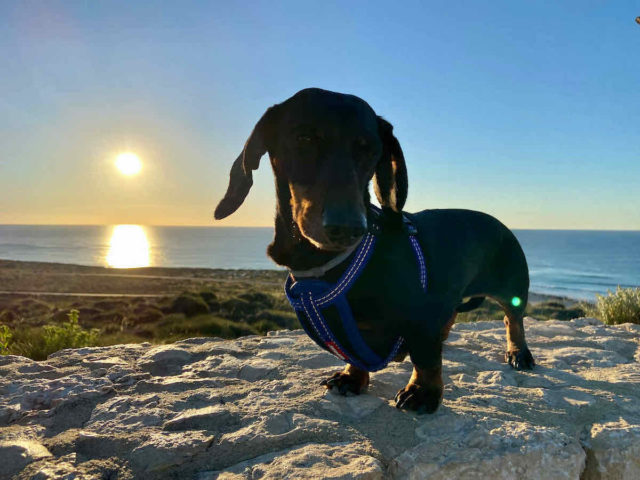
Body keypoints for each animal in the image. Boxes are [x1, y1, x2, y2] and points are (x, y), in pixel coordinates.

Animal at [215, 88, 536, 414]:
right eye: (304, 138)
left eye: (370, 150)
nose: (347, 227)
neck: (328, 264)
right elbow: (356, 356)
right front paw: (352, 377)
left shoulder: (424, 318)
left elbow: (426, 357)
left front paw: (423, 392)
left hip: (513, 287)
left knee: (513, 319)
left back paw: (518, 352)